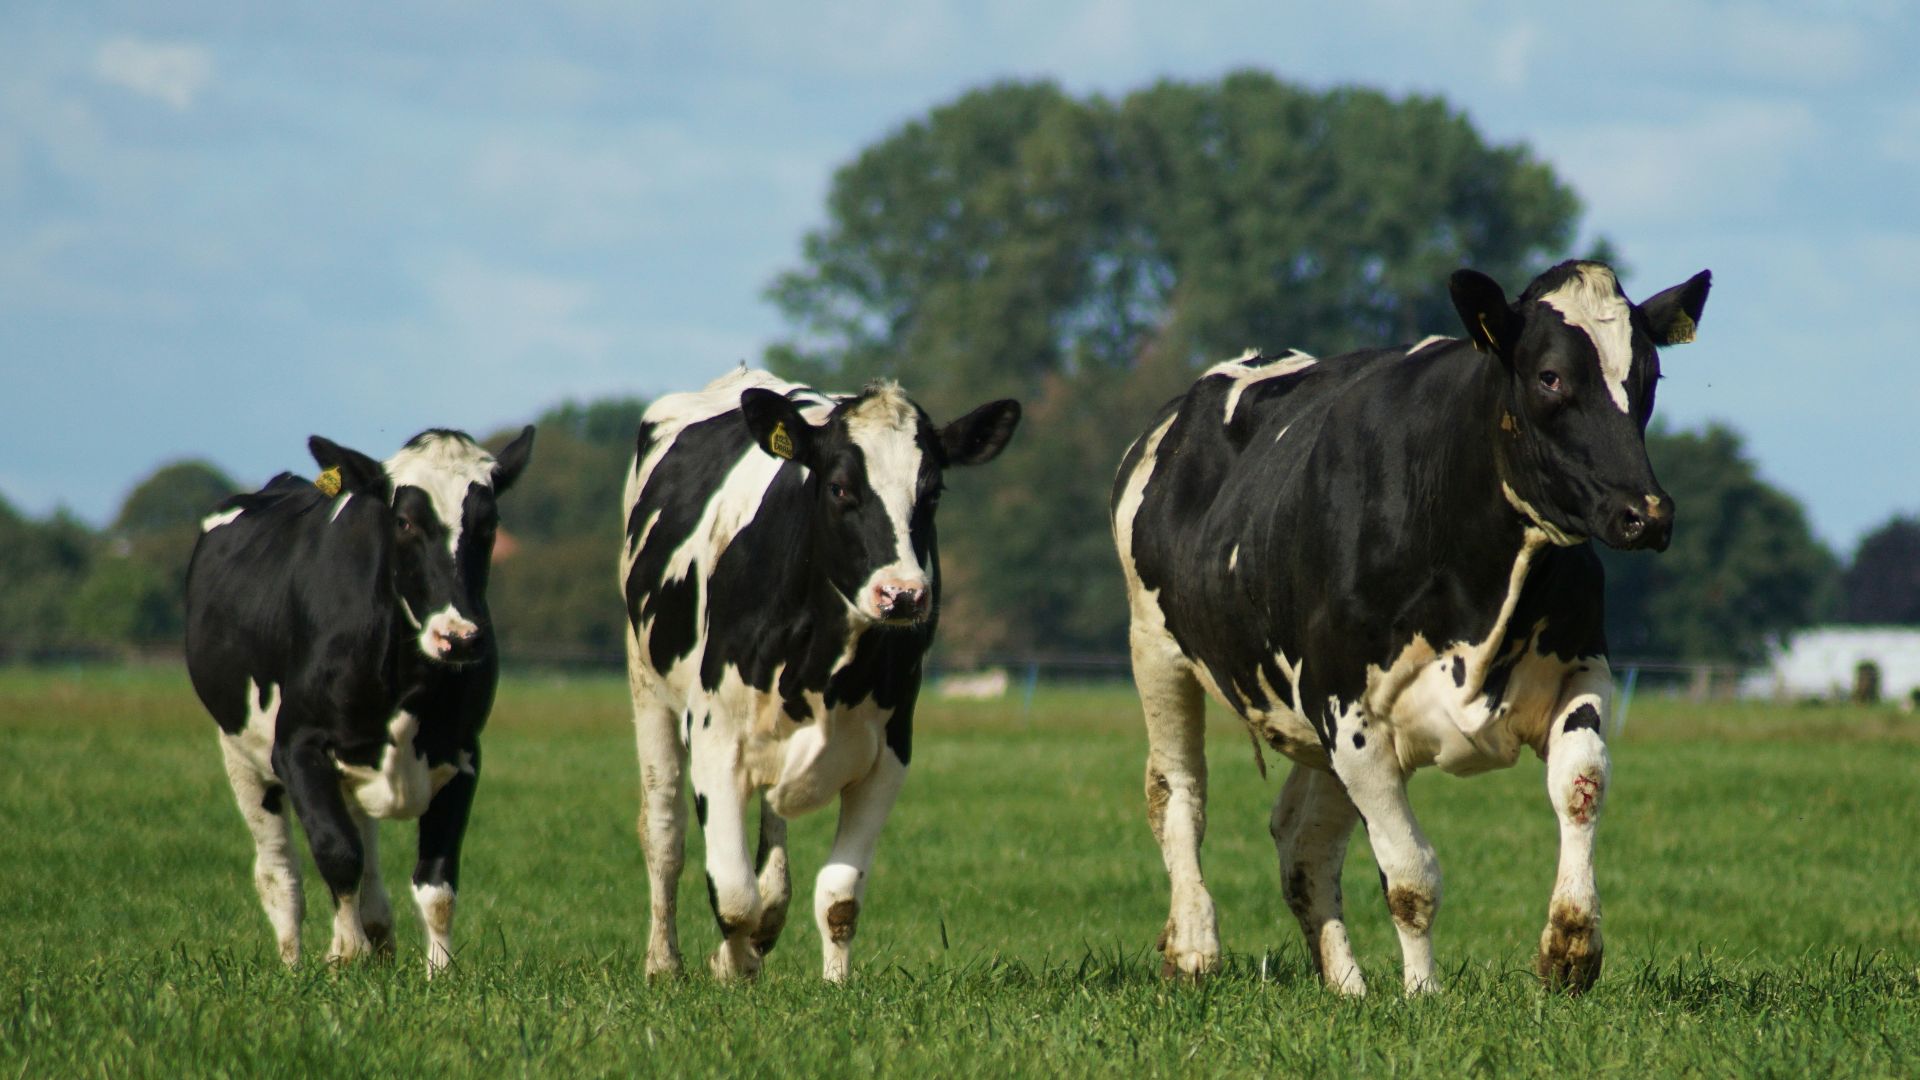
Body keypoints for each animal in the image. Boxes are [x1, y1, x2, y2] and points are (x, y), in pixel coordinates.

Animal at [186, 426, 534, 972]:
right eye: (404, 521)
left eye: (489, 521)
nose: (459, 638)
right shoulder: (298, 746)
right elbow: (337, 852)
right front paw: (345, 952)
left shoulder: (463, 752)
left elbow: (436, 881)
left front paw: (440, 973)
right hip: (241, 754)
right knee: (279, 874)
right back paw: (295, 962)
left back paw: (376, 933)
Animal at [621, 368, 1019, 981]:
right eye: (839, 489)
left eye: (932, 493)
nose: (903, 594)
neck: (824, 662)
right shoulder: (715, 738)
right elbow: (732, 893)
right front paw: (732, 966)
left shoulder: (889, 753)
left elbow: (839, 898)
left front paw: (835, 984)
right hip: (648, 688)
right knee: (664, 831)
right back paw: (665, 962)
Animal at [1111, 260, 1710, 995]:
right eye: (1550, 376)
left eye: (1649, 377)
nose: (1645, 513)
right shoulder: (1349, 712)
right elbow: (1410, 878)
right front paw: (1423, 995)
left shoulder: (1580, 666)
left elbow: (1581, 785)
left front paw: (1571, 946)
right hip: (1156, 649)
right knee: (1178, 794)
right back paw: (1196, 948)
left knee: (1301, 841)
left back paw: (1346, 985)